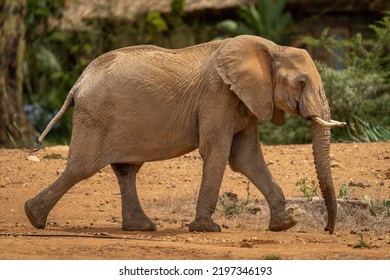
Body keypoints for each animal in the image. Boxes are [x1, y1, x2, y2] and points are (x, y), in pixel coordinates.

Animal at [25, 34, 346, 234]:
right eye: (300, 83)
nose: (328, 230)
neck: (271, 48)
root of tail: (78, 84)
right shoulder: (217, 96)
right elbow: (218, 151)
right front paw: (207, 229)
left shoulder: (245, 100)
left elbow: (246, 157)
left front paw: (284, 225)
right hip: (96, 117)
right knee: (81, 168)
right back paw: (33, 218)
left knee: (126, 169)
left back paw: (141, 227)